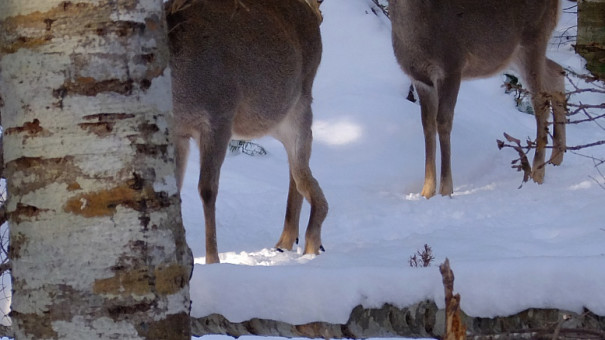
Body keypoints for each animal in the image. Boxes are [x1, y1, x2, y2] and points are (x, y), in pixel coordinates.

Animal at [164, 0, 326, 264]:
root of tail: (314, 12)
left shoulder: (219, 117)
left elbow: (207, 189)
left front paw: (213, 259)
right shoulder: (177, 132)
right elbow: (174, 189)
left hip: (301, 97)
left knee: (302, 161)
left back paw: (311, 241)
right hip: (274, 118)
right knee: (297, 164)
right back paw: (286, 240)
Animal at [386, 0, 568, 198]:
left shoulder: (451, 66)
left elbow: (443, 122)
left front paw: (446, 190)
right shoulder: (420, 79)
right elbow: (427, 125)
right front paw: (426, 191)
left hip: (533, 38)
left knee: (541, 102)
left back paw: (537, 173)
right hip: (514, 54)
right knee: (557, 73)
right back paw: (556, 158)